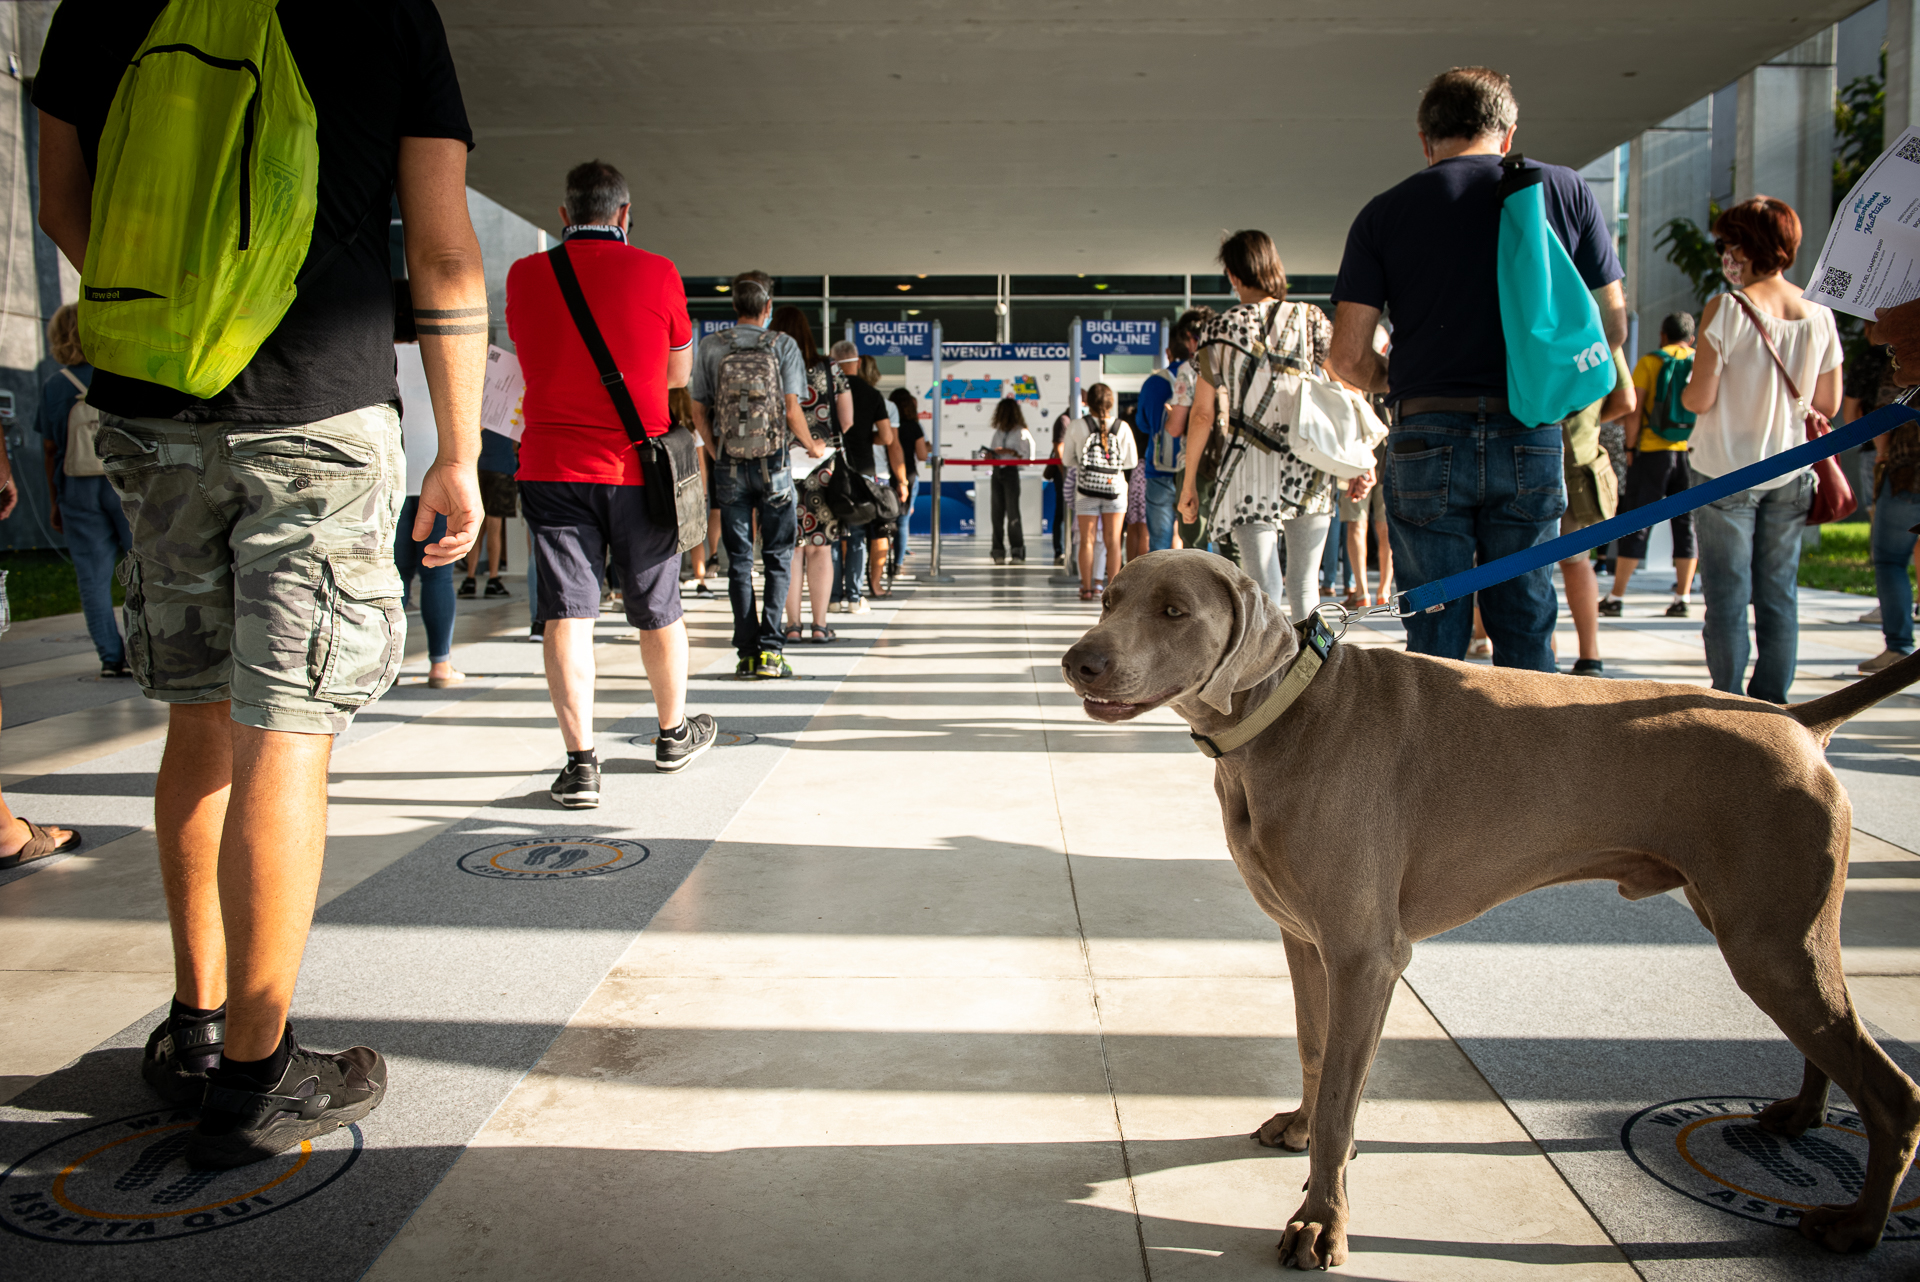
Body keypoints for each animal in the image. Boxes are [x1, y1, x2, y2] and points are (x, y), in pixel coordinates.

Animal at [1067, 552, 1920, 1274]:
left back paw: (1857, 1226)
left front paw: (1320, 1219)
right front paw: (1304, 1130)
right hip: (1765, 931)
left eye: (1174, 611)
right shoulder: (1304, 941)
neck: (1285, 714)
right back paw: (1801, 1116)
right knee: (1831, 1041)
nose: (1080, 660)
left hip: (1769, 940)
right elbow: (1315, 1051)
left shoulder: (1367, 956)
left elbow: (1345, 1093)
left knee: (1893, 1094)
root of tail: (1796, 720)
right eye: (1110, 598)